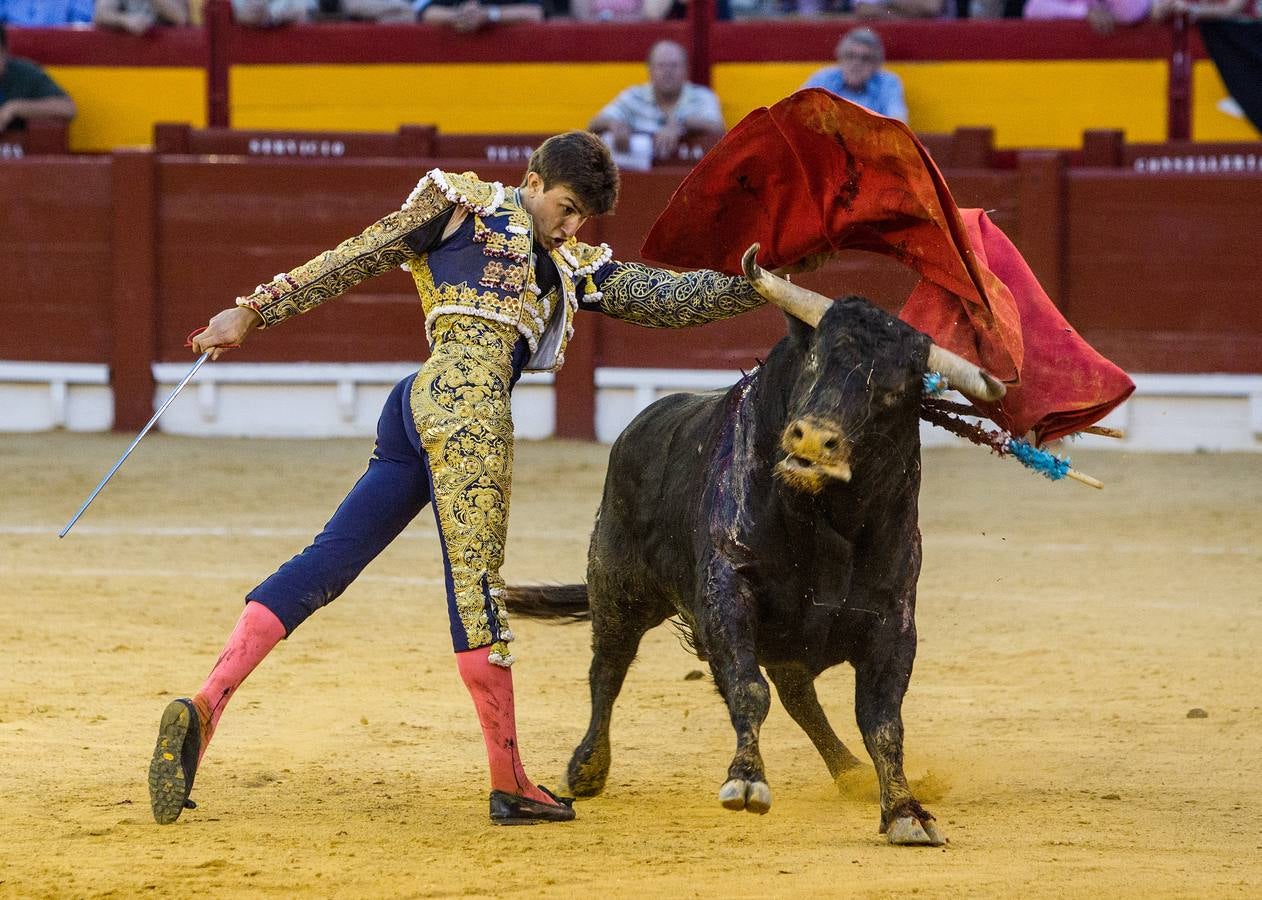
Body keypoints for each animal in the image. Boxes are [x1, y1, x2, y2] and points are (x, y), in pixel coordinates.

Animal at [504, 246, 1004, 843]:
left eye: (892, 391)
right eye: (814, 362)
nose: (812, 439)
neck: (825, 520)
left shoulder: (893, 618)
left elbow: (882, 720)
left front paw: (905, 810)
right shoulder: (727, 591)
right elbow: (747, 687)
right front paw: (745, 781)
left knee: (797, 693)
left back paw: (850, 772)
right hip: (618, 586)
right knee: (609, 667)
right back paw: (586, 768)